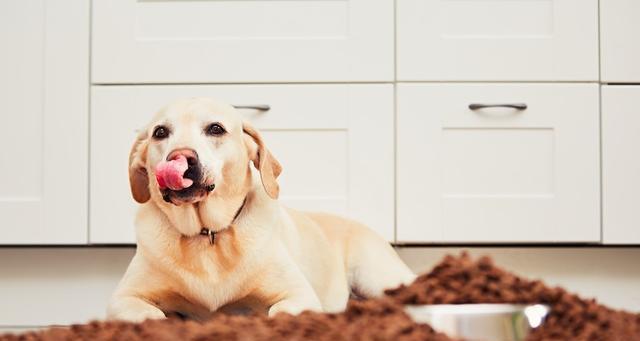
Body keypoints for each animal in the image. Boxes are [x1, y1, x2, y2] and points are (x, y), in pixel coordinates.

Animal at [107, 97, 418, 320]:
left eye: (215, 128)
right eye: (160, 132)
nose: (180, 157)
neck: (209, 235)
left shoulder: (298, 296)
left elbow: (276, 312)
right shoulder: (123, 299)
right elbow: (152, 316)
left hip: (378, 277)